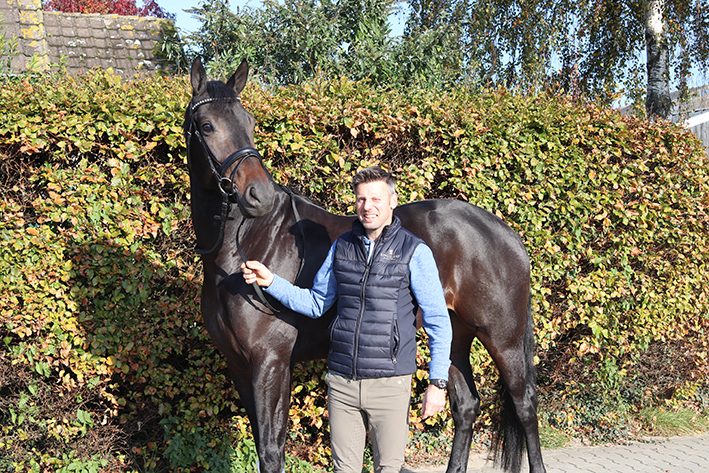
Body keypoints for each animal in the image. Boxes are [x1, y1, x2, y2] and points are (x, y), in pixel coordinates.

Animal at [184, 56, 546, 473]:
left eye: (250, 121)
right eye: (207, 125)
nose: (258, 194)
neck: (244, 248)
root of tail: (507, 234)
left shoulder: (270, 362)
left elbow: (271, 450)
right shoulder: (240, 366)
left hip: (503, 338)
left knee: (525, 406)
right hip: (454, 335)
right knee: (466, 406)